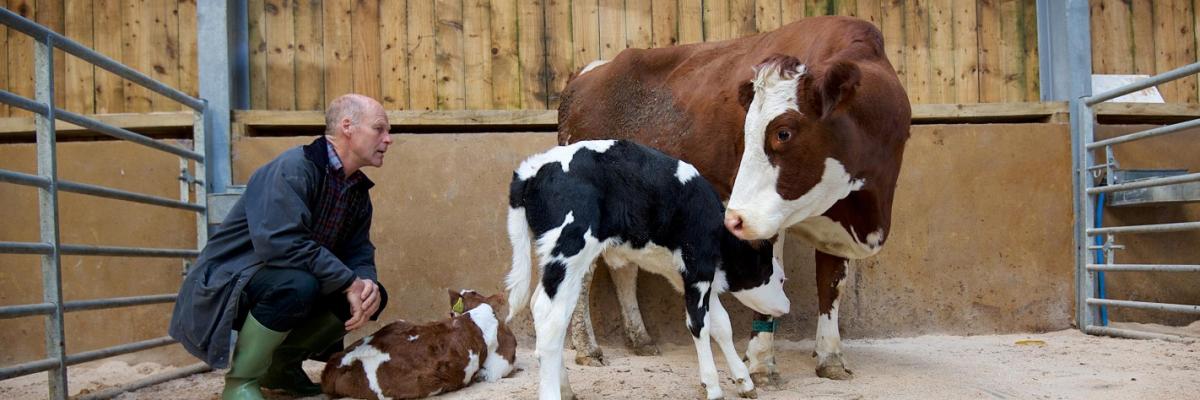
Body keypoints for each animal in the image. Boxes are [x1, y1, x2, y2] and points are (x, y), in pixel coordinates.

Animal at [504, 139, 792, 398]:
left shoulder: (688, 275)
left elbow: (721, 324)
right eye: (779, 278)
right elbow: (700, 324)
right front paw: (712, 386)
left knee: (542, 308)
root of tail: (532, 169)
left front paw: (744, 381)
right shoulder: (699, 268)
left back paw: (566, 388)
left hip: (559, 263)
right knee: (550, 316)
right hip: (569, 251)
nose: (787, 306)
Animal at [554, 15, 907, 381]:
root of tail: (589, 72)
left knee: (623, 267)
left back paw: (640, 339)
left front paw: (831, 357)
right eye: (746, 132)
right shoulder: (761, 218)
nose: (732, 219)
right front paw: (762, 364)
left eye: (783, 132)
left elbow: (831, 285)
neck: (863, 212)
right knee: (583, 274)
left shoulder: (836, 220)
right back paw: (587, 348)